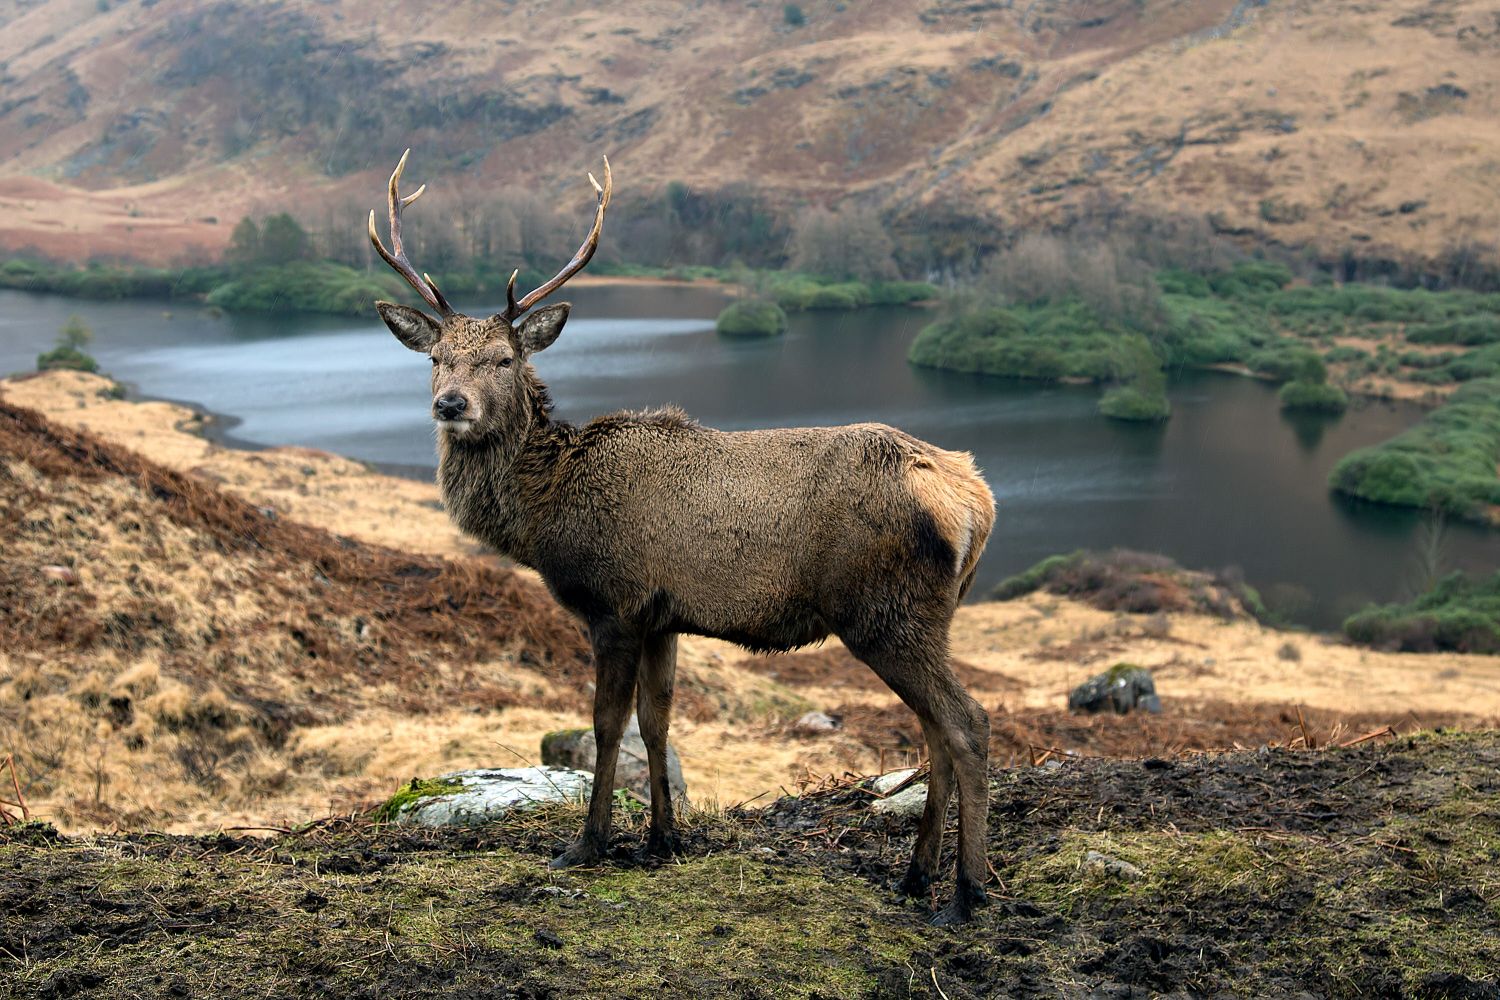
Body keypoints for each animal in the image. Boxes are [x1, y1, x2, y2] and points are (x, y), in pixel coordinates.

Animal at [367, 148, 996, 923]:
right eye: (436, 358)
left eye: (504, 360)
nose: (450, 405)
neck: (545, 510)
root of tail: (975, 499)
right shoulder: (664, 616)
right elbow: (658, 722)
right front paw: (664, 839)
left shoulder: (613, 603)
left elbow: (608, 725)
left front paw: (588, 844)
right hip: (929, 615)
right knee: (936, 728)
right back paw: (914, 875)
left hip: (886, 611)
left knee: (966, 723)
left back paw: (966, 891)